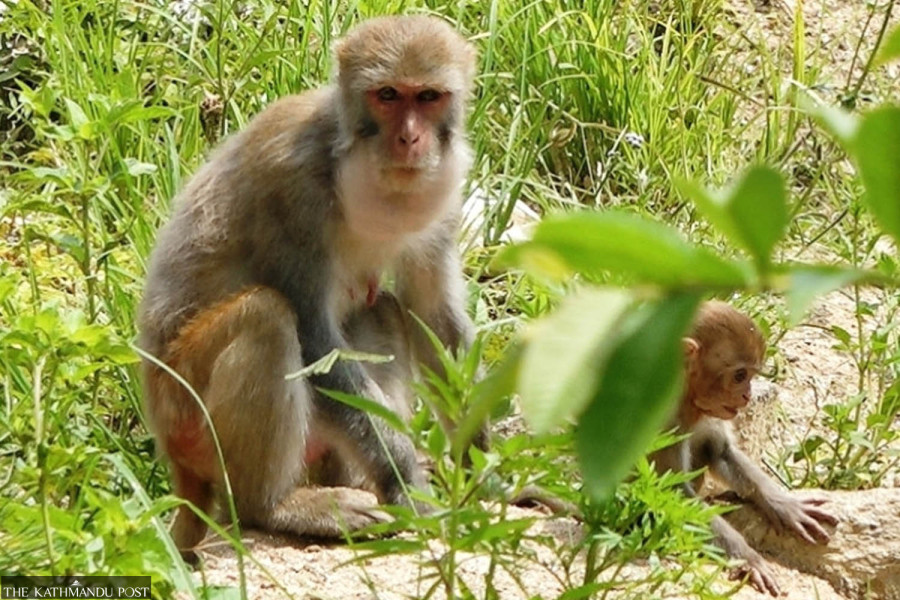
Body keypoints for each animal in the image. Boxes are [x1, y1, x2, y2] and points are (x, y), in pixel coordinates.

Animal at [137, 15, 478, 556]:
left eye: (428, 97)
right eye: (387, 95)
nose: (409, 140)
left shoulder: (444, 194)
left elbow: (434, 318)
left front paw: (486, 468)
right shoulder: (291, 192)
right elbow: (317, 342)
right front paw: (408, 484)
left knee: (379, 308)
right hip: (187, 416)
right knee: (267, 317)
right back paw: (274, 507)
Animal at [650, 301, 838, 596]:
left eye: (751, 375)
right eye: (740, 376)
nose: (747, 395)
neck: (688, 402)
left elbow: (721, 452)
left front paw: (785, 505)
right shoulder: (664, 421)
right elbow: (673, 490)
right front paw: (746, 557)